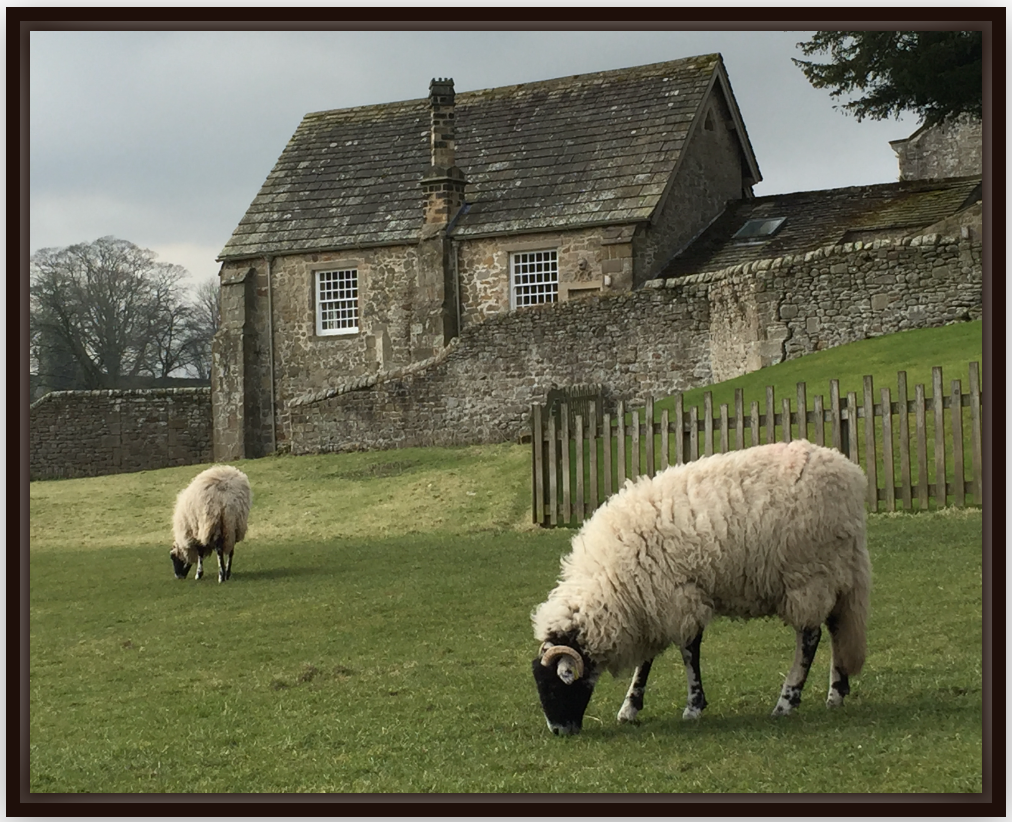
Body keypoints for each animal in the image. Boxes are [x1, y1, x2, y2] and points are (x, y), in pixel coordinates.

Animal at [530, 439, 870, 736]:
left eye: (555, 684)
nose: (559, 731)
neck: (609, 582)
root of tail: (850, 475)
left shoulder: (676, 596)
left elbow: (688, 651)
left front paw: (693, 706)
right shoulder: (651, 603)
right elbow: (646, 661)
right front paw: (630, 707)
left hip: (808, 574)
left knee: (809, 637)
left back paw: (787, 701)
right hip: (835, 572)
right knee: (837, 628)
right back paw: (835, 693)